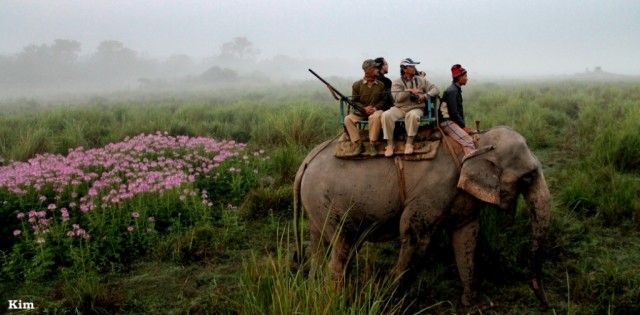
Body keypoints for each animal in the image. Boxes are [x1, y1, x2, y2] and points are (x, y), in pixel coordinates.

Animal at [294, 126, 552, 312]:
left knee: (319, 246)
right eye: (528, 177)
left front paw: (479, 304)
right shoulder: (432, 193)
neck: (474, 144)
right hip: (328, 201)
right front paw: (389, 301)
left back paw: (316, 291)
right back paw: (338, 299)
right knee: (343, 245)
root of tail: (305, 162)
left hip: (316, 204)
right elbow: (414, 236)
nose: (544, 306)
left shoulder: (461, 197)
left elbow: (467, 236)